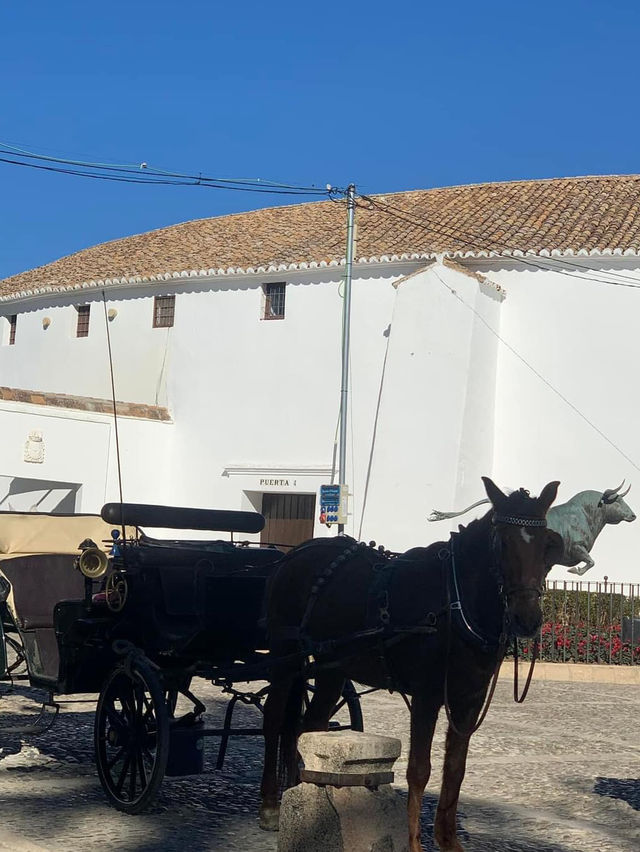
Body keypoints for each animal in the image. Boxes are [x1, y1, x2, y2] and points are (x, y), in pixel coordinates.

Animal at [258, 476, 564, 848]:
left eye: (548, 546)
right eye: (502, 543)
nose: (527, 619)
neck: (454, 601)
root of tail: (295, 554)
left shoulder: (469, 700)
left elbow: (455, 769)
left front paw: (448, 841)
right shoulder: (427, 696)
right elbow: (419, 770)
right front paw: (415, 842)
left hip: (332, 667)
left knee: (308, 725)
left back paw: (300, 794)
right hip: (285, 655)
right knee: (275, 719)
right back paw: (271, 804)